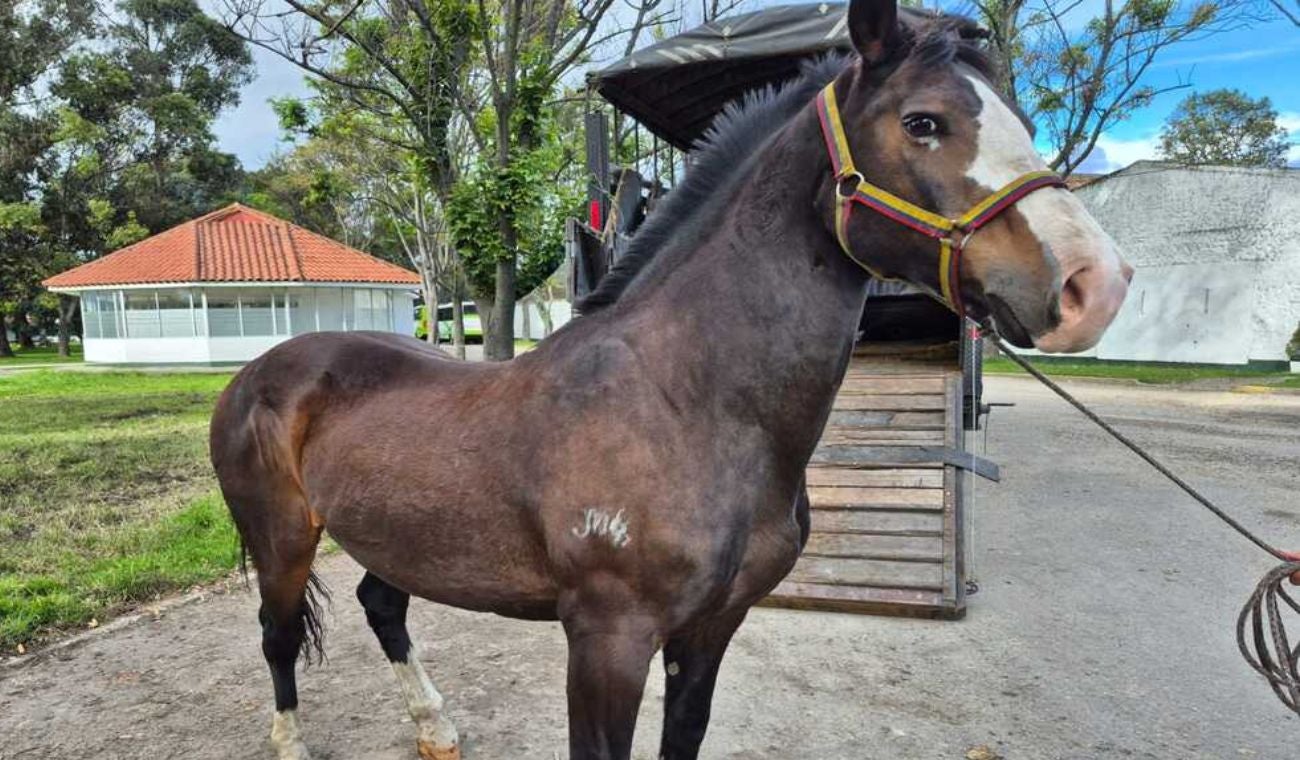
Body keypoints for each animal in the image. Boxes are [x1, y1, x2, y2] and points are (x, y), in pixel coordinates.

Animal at [209, 1, 1131, 758]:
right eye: (924, 121)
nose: (1097, 285)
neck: (686, 403)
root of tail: (261, 371)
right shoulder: (607, 640)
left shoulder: (712, 629)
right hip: (283, 538)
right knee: (276, 635)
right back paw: (293, 742)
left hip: (395, 534)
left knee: (383, 607)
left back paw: (436, 728)